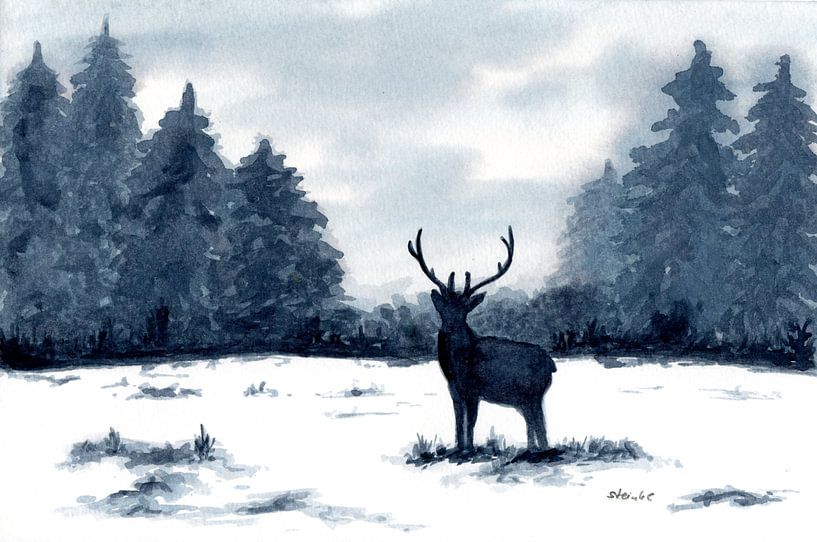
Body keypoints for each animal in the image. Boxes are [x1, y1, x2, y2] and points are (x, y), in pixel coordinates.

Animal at [408, 226, 556, 454]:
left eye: (464, 310)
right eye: (443, 309)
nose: (448, 328)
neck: (455, 368)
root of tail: (551, 363)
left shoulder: (474, 391)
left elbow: (471, 423)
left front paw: (469, 449)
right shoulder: (454, 392)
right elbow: (458, 423)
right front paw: (458, 448)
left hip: (533, 392)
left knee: (539, 423)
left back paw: (540, 450)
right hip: (523, 398)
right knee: (532, 423)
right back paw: (532, 449)